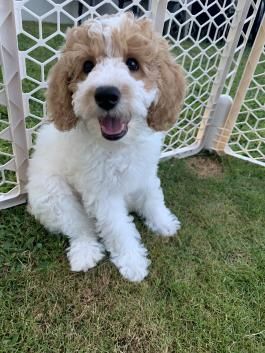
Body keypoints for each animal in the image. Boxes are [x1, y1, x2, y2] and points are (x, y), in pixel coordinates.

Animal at [26, 13, 184, 280]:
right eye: (87, 66)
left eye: (133, 63)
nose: (106, 95)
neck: (121, 145)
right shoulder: (102, 194)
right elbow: (118, 228)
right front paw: (133, 261)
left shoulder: (145, 172)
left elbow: (153, 197)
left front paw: (163, 222)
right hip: (52, 196)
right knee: (81, 227)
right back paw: (85, 253)